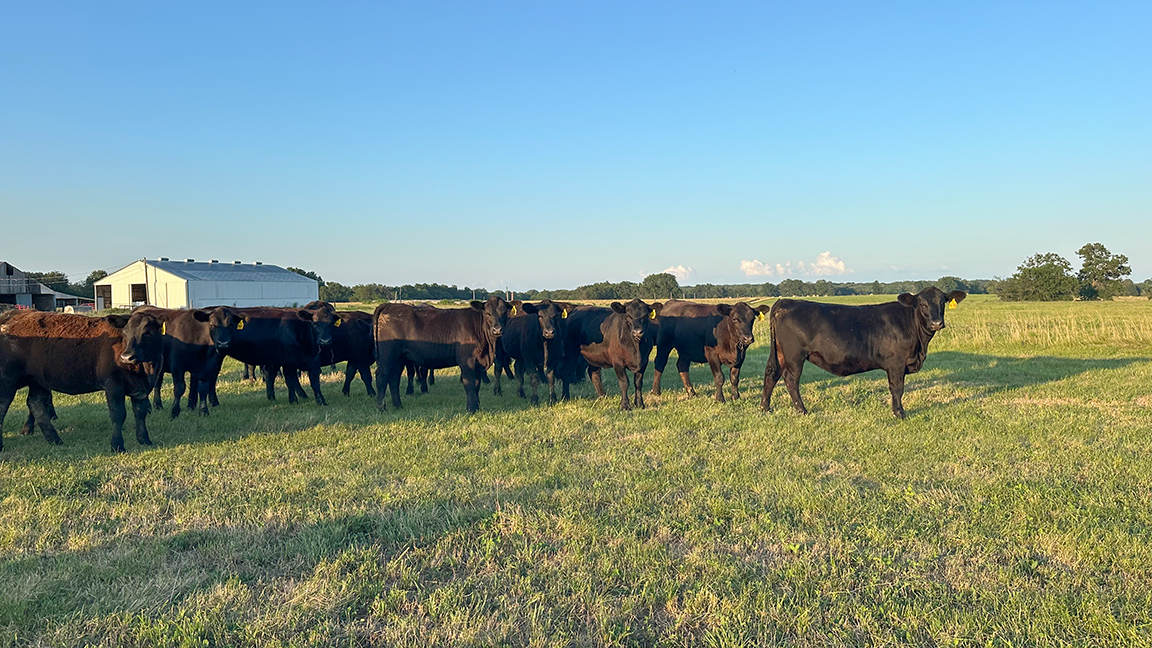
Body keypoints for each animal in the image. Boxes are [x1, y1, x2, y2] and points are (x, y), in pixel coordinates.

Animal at [0, 310, 165, 452]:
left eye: (147, 333)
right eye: (125, 333)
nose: (126, 357)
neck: (145, 370)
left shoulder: (140, 390)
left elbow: (140, 414)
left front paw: (144, 440)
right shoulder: (113, 385)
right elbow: (118, 415)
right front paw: (117, 446)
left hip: (38, 380)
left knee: (36, 404)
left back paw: (55, 440)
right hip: (7, 379)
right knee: (3, 406)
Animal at [373, 296, 514, 413]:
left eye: (504, 313)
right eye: (488, 313)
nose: (497, 329)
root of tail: (389, 305)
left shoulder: (479, 363)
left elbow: (476, 385)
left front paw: (477, 407)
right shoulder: (467, 361)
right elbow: (469, 384)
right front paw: (471, 409)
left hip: (399, 358)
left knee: (394, 379)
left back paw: (398, 406)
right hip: (387, 356)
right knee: (382, 378)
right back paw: (381, 408)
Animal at [761, 287, 967, 418]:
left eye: (943, 302)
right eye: (922, 304)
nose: (936, 323)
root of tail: (785, 302)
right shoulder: (896, 363)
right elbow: (897, 388)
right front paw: (899, 413)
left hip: (780, 353)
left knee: (772, 374)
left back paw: (765, 408)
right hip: (795, 356)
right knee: (790, 379)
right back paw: (802, 410)